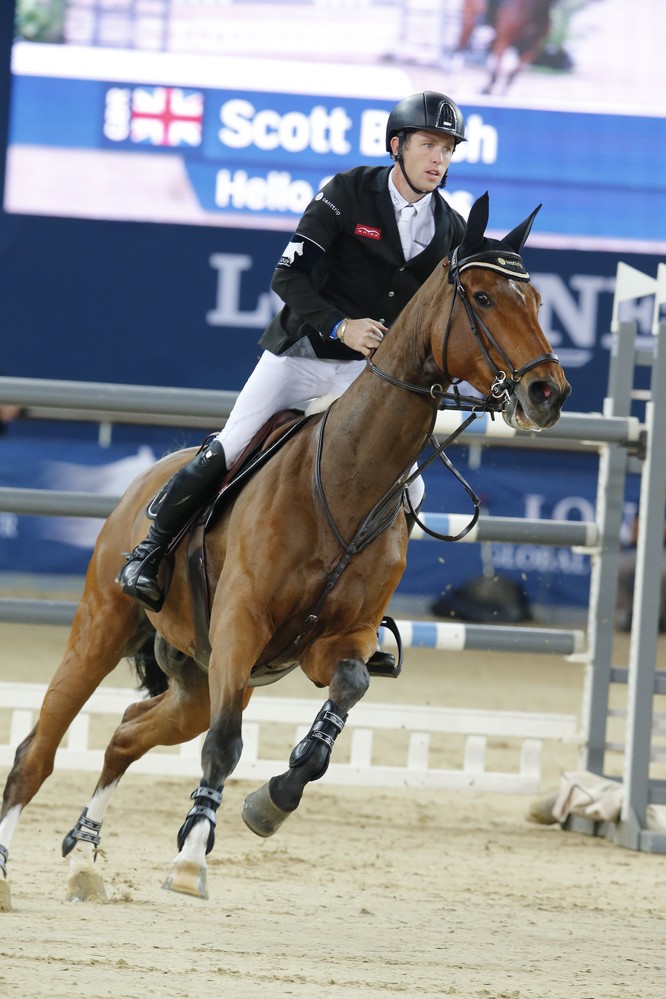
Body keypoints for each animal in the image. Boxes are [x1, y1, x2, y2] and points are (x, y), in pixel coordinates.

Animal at [0, 191, 572, 912]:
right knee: (39, 750)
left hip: (198, 676)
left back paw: (84, 857)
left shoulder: (336, 639)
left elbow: (348, 691)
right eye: (482, 297)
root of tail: (143, 481)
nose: (548, 393)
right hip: (105, 628)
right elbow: (223, 747)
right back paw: (7, 870)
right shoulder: (241, 624)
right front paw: (190, 857)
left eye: (538, 301)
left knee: (128, 732)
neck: (351, 477)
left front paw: (273, 799)